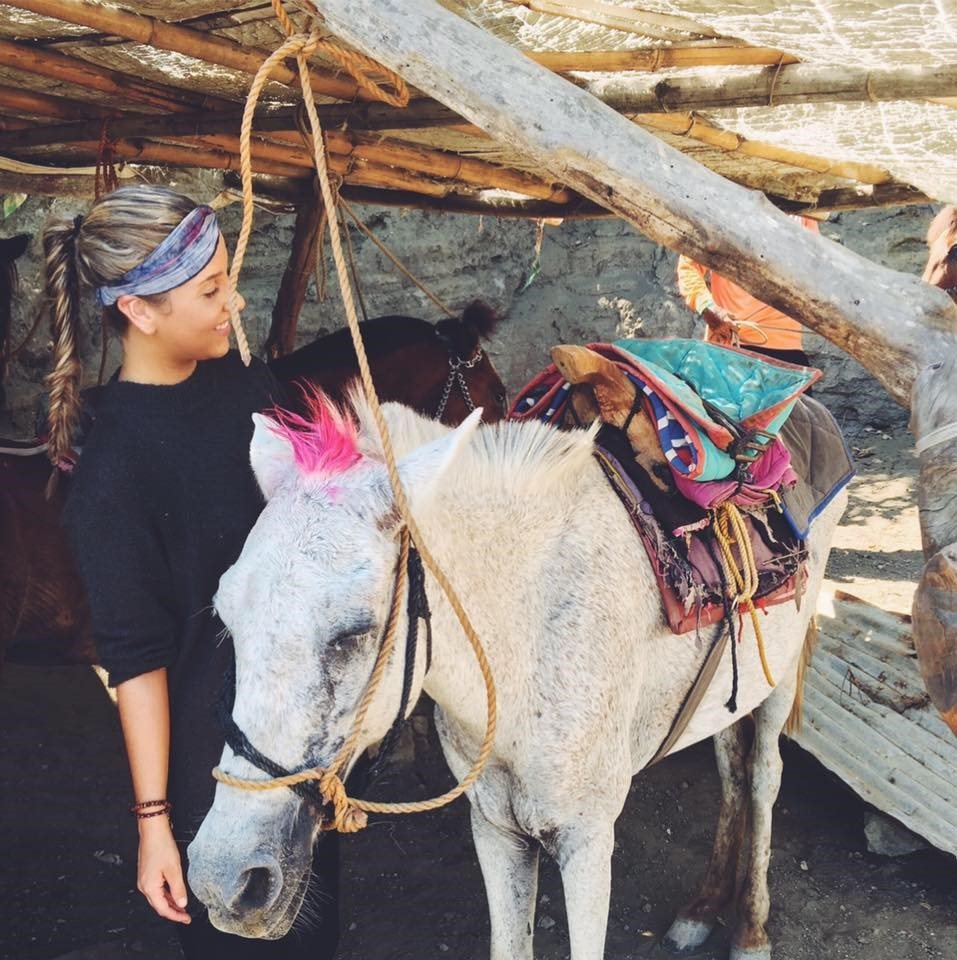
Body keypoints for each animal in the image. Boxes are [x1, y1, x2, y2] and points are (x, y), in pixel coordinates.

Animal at [187, 392, 844, 960]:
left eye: (353, 632)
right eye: (226, 619)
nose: (224, 881)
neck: (525, 651)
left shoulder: (586, 842)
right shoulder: (496, 830)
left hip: (780, 679)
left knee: (762, 778)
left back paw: (750, 930)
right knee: (731, 769)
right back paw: (702, 909)